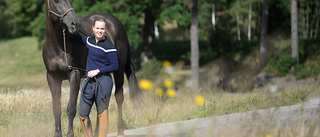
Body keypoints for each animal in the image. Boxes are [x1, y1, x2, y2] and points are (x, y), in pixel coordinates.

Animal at [42, 0, 142, 136]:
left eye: (71, 1)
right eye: (56, 1)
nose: (75, 24)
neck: (58, 46)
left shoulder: (74, 74)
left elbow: (71, 108)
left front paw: (70, 134)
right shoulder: (52, 78)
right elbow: (56, 108)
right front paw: (57, 134)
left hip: (118, 71)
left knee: (119, 97)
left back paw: (120, 130)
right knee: (101, 102)